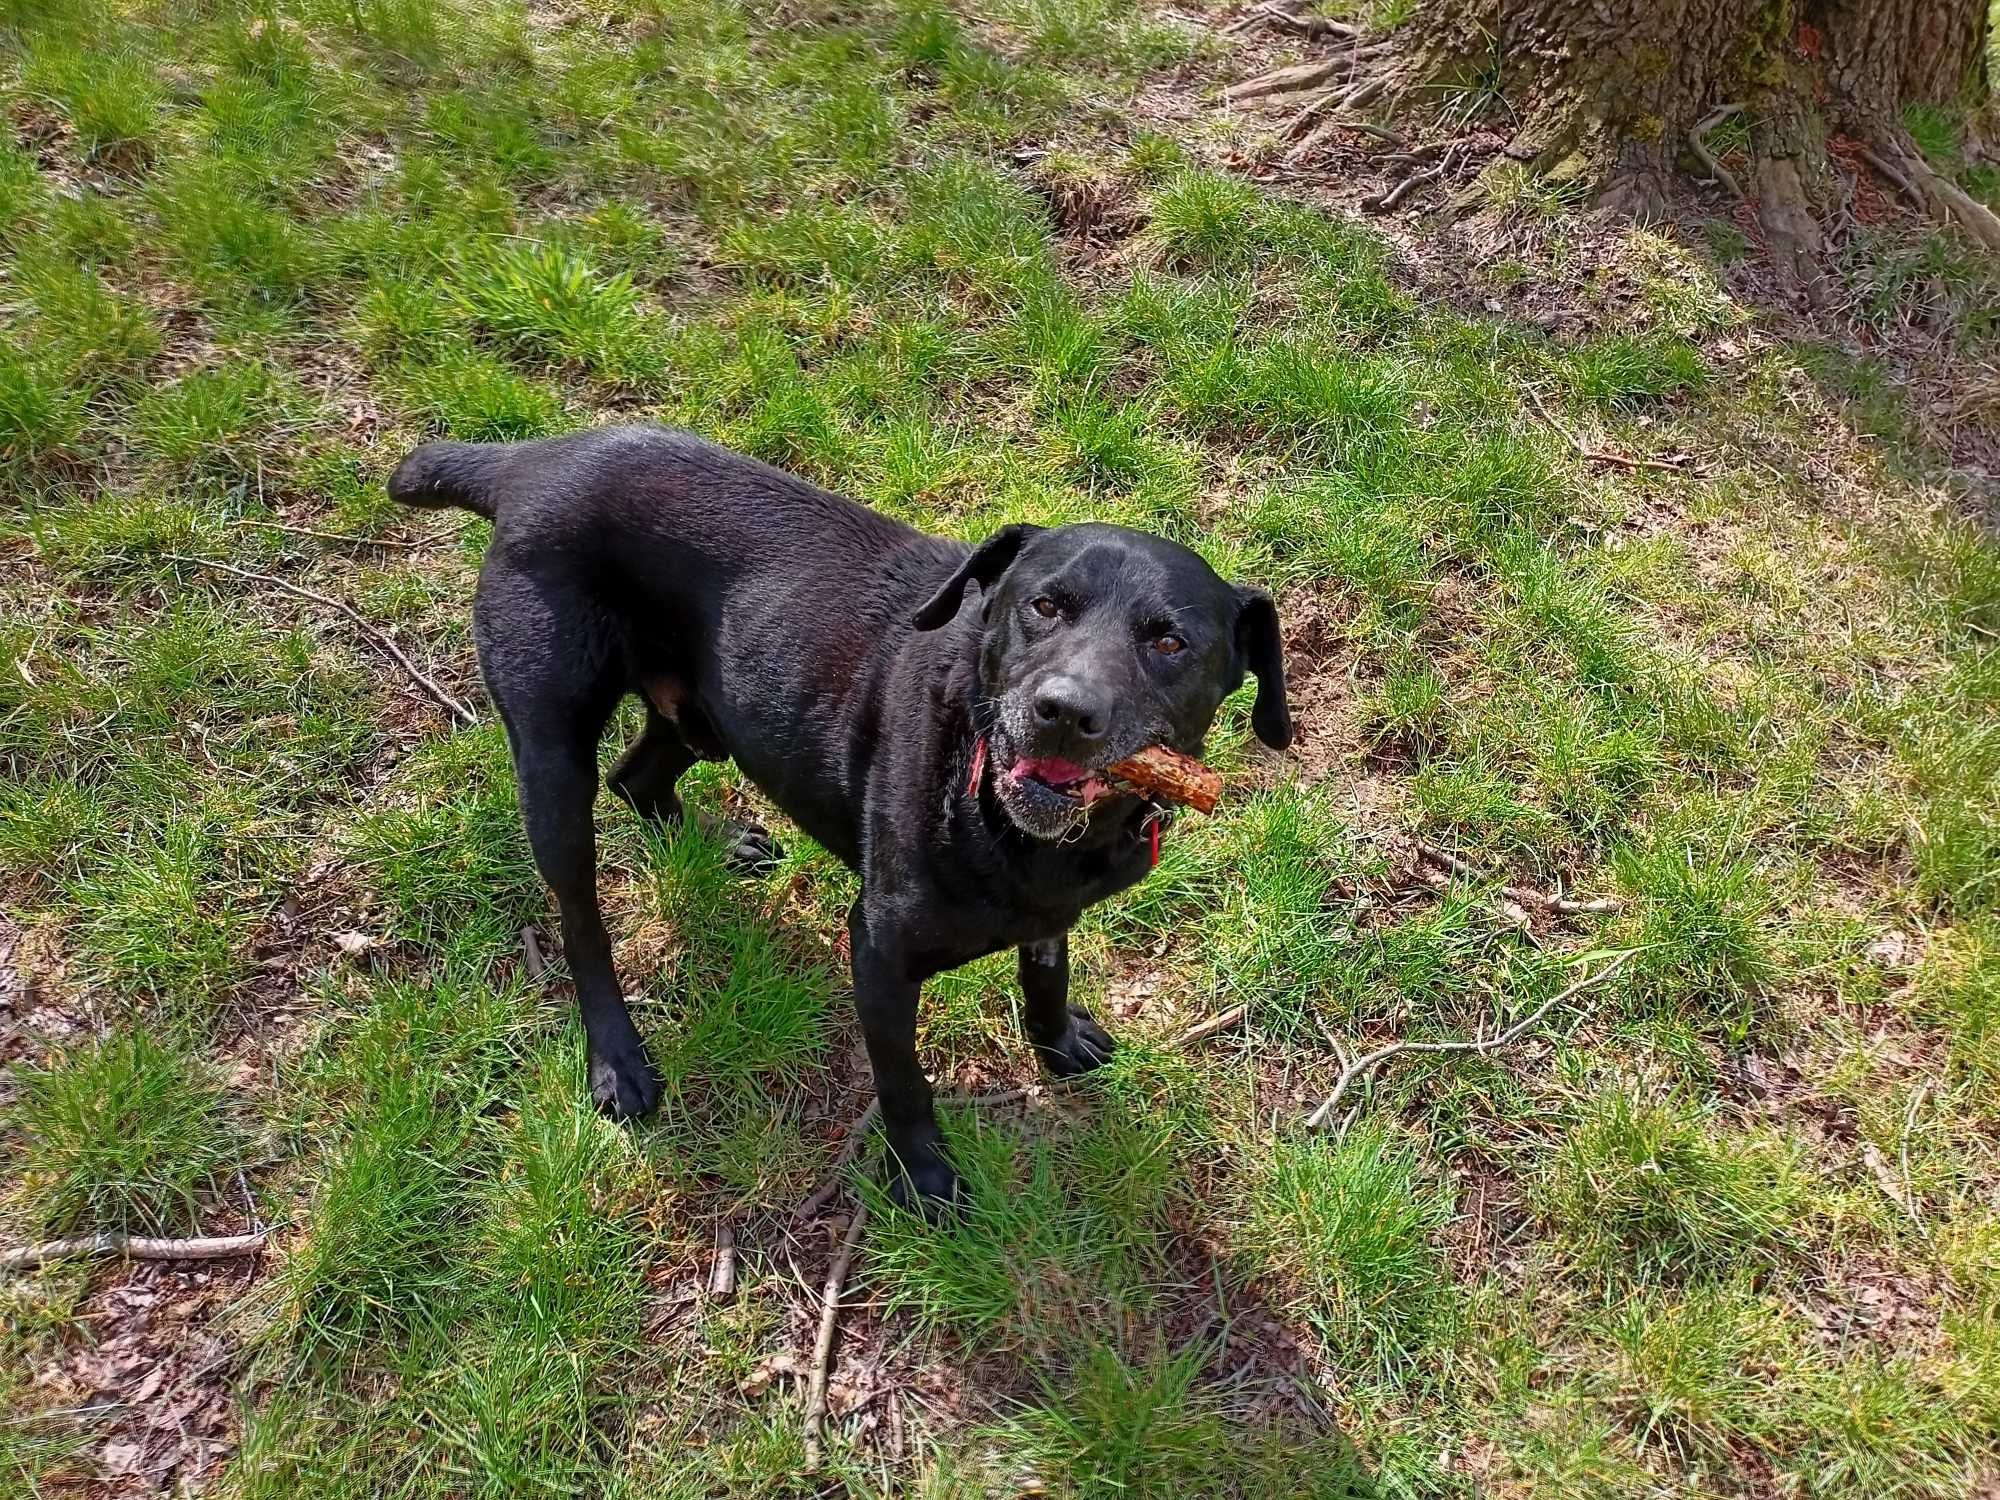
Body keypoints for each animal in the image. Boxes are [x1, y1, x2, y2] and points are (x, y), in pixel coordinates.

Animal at [394, 424, 1280, 1208]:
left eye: (1168, 642)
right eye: (1043, 606)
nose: (1062, 711)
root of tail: (529, 460)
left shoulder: (1051, 914)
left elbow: (1046, 973)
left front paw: (1056, 1040)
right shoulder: (879, 953)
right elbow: (905, 1083)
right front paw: (922, 1182)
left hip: (704, 714)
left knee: (637, 779)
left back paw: (719, 847)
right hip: (552, 759)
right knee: (582, 915)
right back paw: (617, 1058)